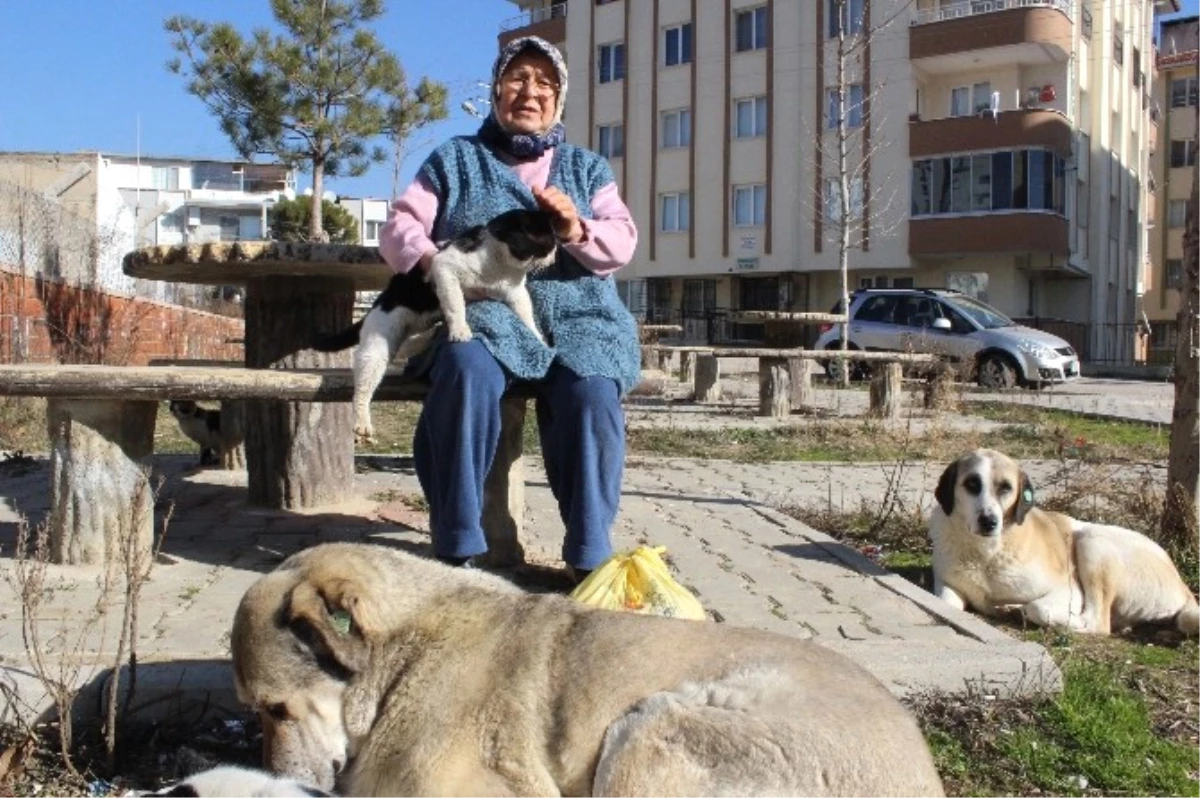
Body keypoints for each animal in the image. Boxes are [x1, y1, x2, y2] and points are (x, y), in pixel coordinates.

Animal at [314, 208, 556, 439]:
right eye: (550, 241)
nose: (555, 256)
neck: (499, 265)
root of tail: (378, 302)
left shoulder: (516, 294)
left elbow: (528, 319)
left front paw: (540, 339)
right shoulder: (445, 269)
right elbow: (455, 303)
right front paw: (460, 330)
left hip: (414, 328)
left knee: (408, 346)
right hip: (376, 349)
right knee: (362, 391)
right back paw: (362, 424)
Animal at [931, 448, 1200, 633]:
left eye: (1005, 488)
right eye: (971, 484)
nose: (989, 521)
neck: (987, 553)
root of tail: (1185, 588)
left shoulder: (1068, 589)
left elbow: (1038, 607)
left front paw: (1025, 610)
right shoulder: (949, 586)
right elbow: (944, 602)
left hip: (1092, 541)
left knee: (1097, 622)